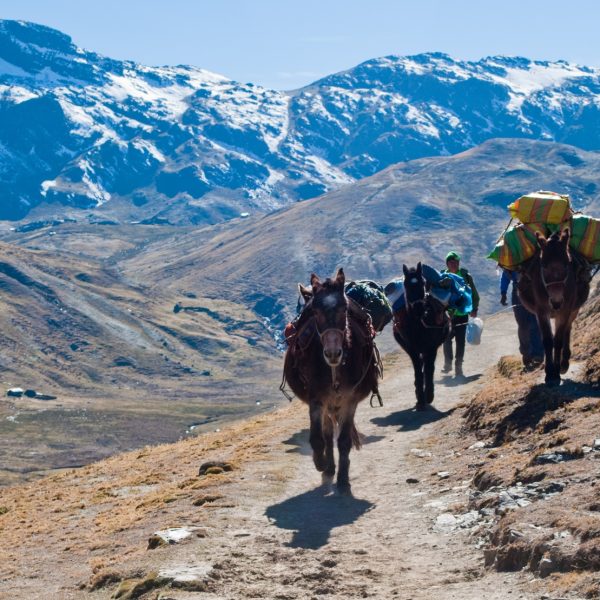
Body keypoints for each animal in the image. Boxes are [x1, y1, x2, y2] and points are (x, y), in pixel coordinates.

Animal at [392, 264, 448, 410]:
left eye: (422, 283)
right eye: (406, 284)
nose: (418, 307)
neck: (418, 324)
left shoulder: (431, 347)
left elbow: (429, 369)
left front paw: (429, 395)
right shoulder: (412, 349)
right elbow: (418, 369)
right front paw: (420, 398)